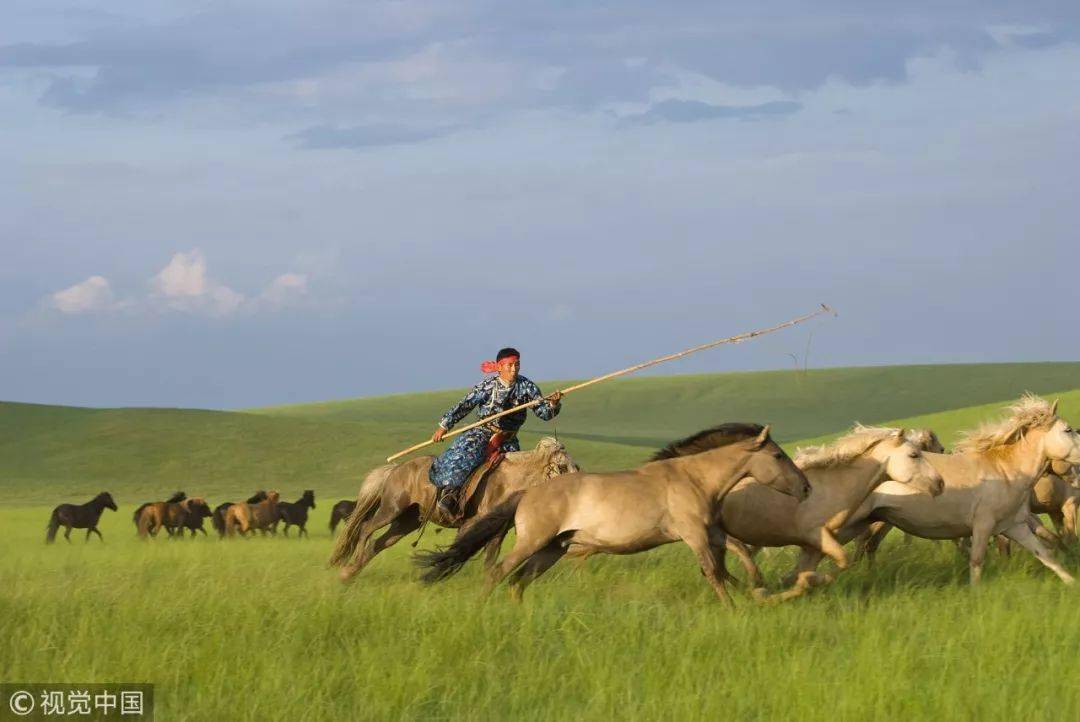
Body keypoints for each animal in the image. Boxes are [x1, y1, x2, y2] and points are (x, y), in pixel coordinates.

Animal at [330, 436, 578, 582]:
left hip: (407, 521)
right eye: (562, 466)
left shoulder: (498, 531)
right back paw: (350, 565)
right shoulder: (471, 524)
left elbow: (489, 561)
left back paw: (348, 573)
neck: (507, 482)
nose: (578, 484)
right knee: (366, 529)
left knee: (378, 543)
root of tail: (396, 468)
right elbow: (455, 551)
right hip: (392, 509)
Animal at [412, 423, 812, 604]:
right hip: (533, 542)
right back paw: (481, 608)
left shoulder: (709, 531)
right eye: (778, 456)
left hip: (552, 549)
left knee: (519, 580)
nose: (807, 488)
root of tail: (528, 492)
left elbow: (739, 553)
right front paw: (734, 607)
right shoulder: (694, 534)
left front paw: (757, 587)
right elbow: (713, 571)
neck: (692, 478)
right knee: (499, 572)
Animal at [717, 425, 946, 600]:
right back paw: (751, 583)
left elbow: (808, 575)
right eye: (914, 455)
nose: (940, 483)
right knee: (736, 551)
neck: (829, 489)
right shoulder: (818, 537)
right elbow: (845, 559)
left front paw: (781, 591)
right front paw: (765, 594)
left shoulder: (812, 547)